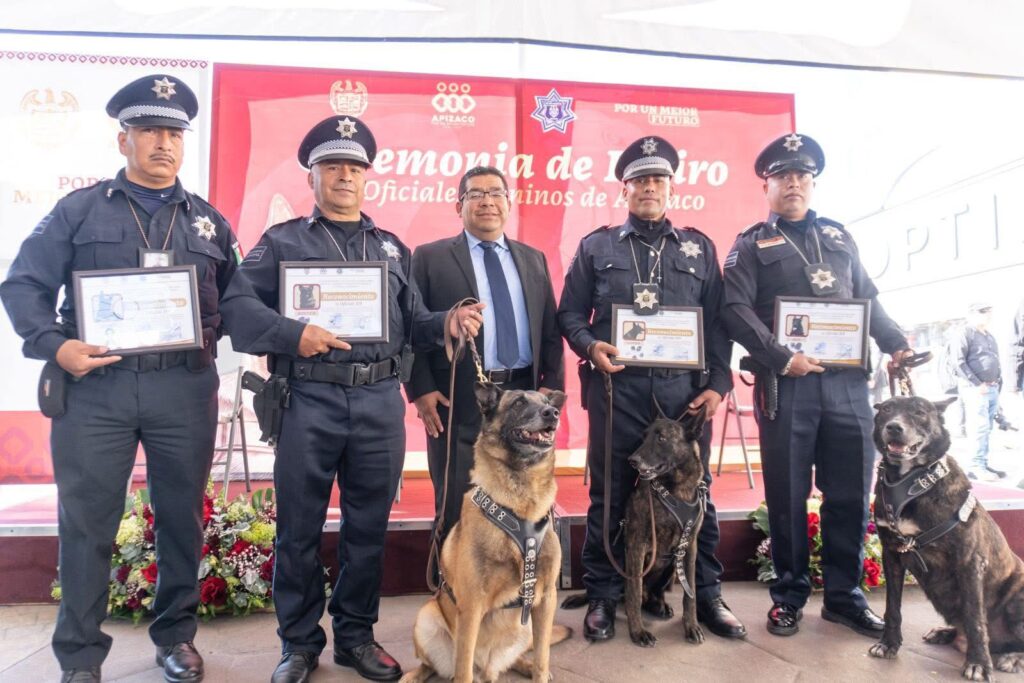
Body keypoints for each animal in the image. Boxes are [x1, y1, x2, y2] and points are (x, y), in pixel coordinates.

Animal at [402, 383, 570, 683]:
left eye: (547, 403)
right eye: (518, 403)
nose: (552, 413)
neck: (520, 508)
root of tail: (489, 670)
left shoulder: (546, 598)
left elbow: (542, 658)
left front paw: (539, 670)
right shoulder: (471, 606)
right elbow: (463, 670)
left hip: (527, 627)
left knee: (521, 657)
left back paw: (527, 666)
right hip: (427, 618)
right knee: (432, 665)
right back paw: (412, 675)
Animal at [623, 406, 707, 647]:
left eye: (661, 438)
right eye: (644, 436)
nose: (632, 461)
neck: (677, 489)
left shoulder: (690, 547)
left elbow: (691, 594)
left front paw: (691, 626)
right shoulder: (637, 546)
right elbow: (633, 591)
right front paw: (637, 631)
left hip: (671, 569)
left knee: (654, 594)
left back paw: (659, 605)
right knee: (634, 595)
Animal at [867, 395, 1024, 681]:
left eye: (919, 412)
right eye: (886, 409)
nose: (894, 427)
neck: (910, 484)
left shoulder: (970, 563)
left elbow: (975, 617)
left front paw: (978, 663)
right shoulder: (892, 555)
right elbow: (892, 607)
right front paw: (888, 644)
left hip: (1018, 598)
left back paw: (1013, 657)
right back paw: (944, 633)